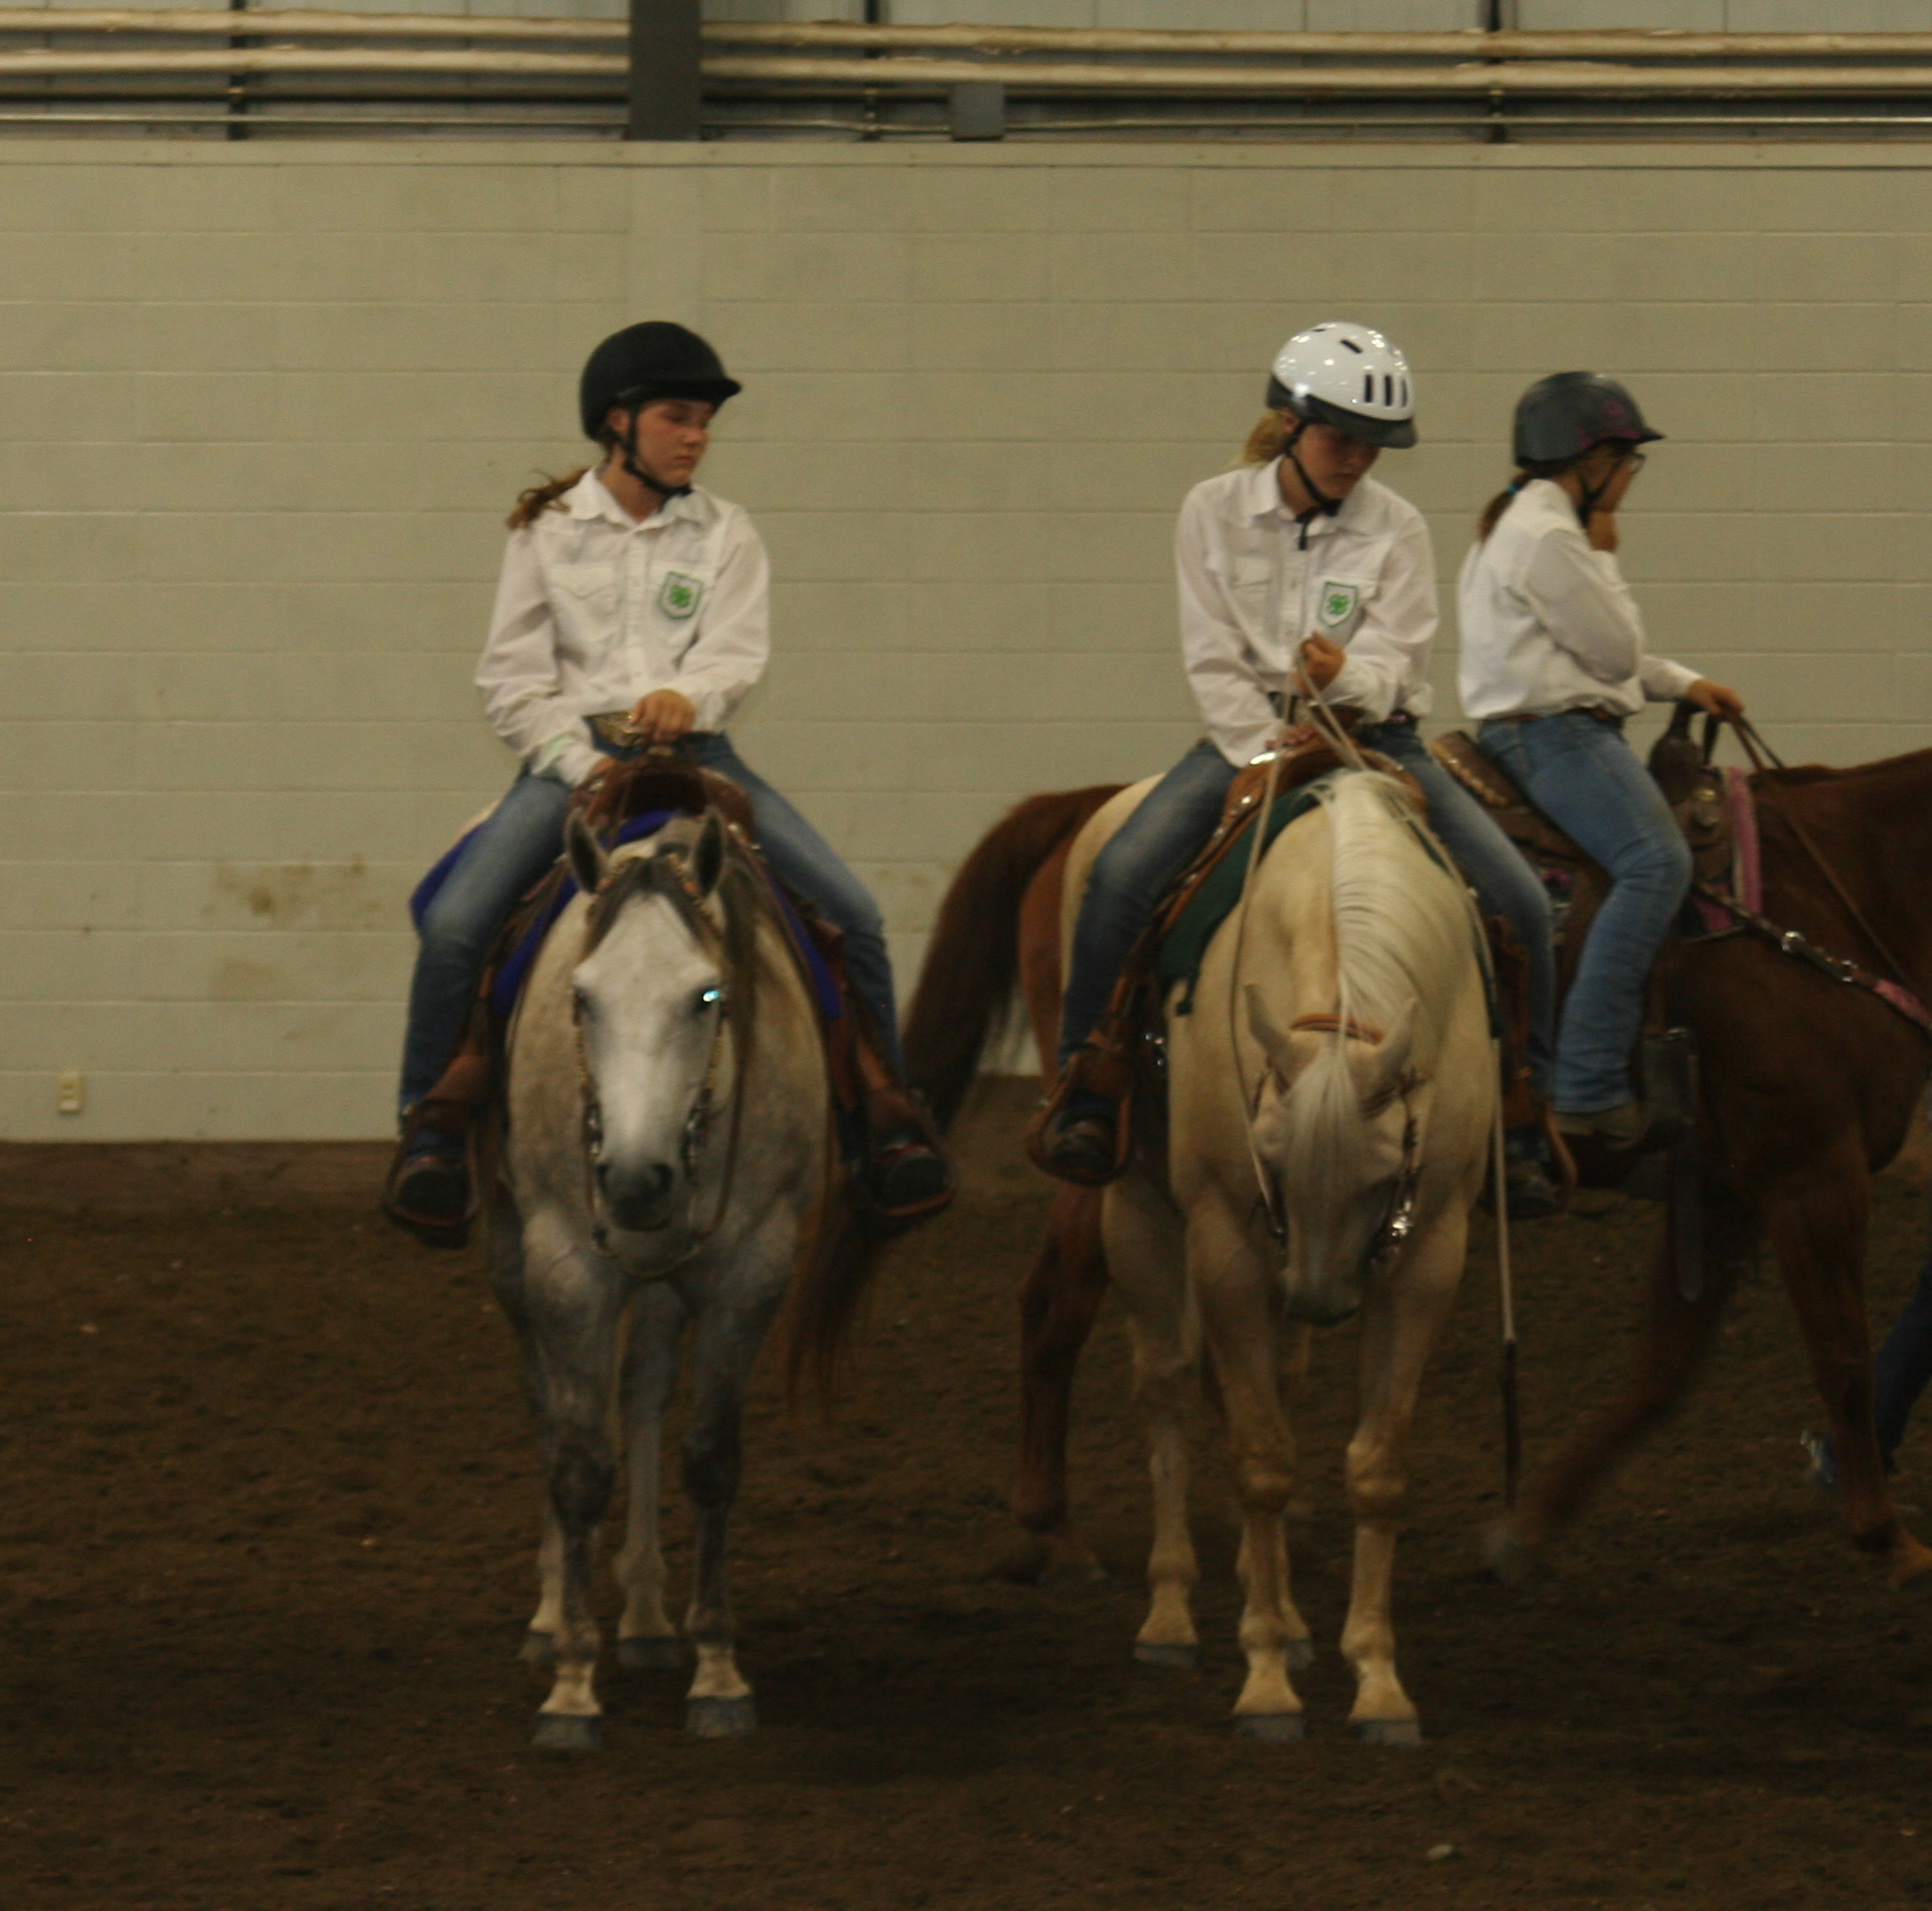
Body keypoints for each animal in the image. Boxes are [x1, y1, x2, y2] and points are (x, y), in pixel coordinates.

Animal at [489, 799, 876, 1750]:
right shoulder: (565, 1265)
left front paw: (717, 1669)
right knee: (550, 1404)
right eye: (582, 997)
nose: (635, 1181)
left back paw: (645, 1620)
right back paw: (553, 1617)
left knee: (642, 1391)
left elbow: (709, 1460)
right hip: (519, 1259)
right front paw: (572, 1688)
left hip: (666, 1283)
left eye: (707, 996)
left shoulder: (750, 1272)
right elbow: (578, 1464)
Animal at [990, 766, 1495, 1739]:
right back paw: (1172, 1613)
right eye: (1268, 1156)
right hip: (1138, 1208)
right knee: (1167, 1386)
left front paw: (1376, 1681)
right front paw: (1262, 1681)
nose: (1320, 1298)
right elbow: (1260, 1460)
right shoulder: (1228, 1236)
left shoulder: (1429, 1250)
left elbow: (1375, 1468)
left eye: (1386, 1172)